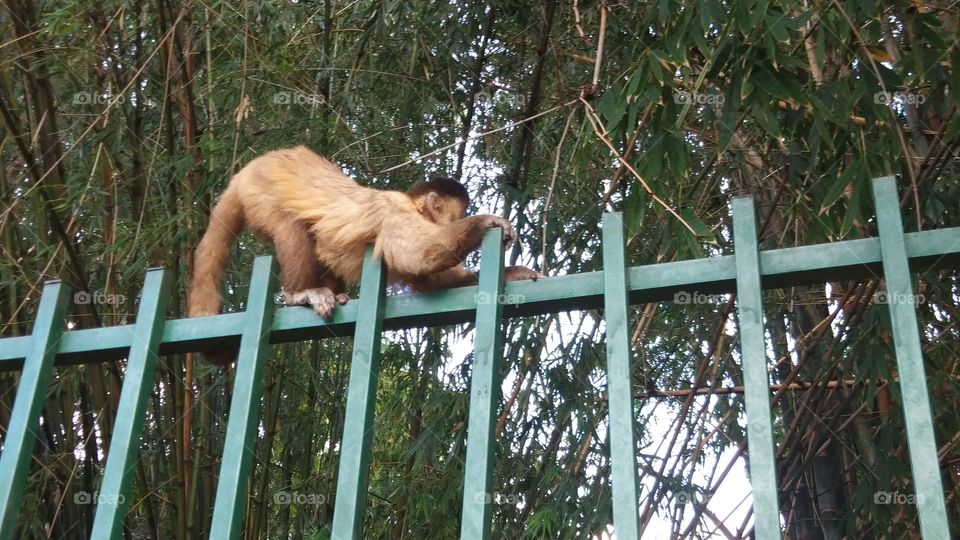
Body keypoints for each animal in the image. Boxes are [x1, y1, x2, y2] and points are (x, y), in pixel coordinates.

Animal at [188, 146, 541, 364]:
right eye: (459, 215)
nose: (466, 217)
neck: (411, 204)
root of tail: (249, 169)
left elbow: (429, 279)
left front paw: (514, 274)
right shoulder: (393, 211)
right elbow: (419, 255)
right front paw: (486, 222)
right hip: (259, 195)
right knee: (292, 224)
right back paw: (300, 293)